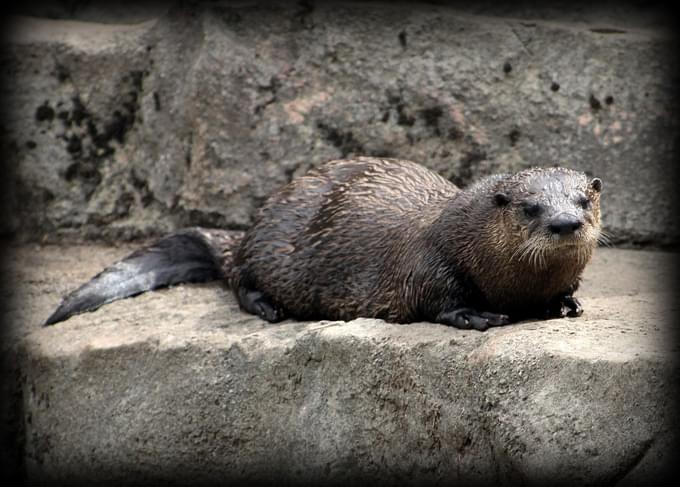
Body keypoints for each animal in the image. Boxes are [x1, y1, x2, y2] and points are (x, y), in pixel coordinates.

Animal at [45, 157, 604, 332]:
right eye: (530, 207)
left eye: (583, 199)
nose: (565, 223)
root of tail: (251, 227)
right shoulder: (428, 262)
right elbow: (435, 299)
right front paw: (477, 315)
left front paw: (564, 303)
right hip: (268, 247)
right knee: (239, 279)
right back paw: (268, 308)